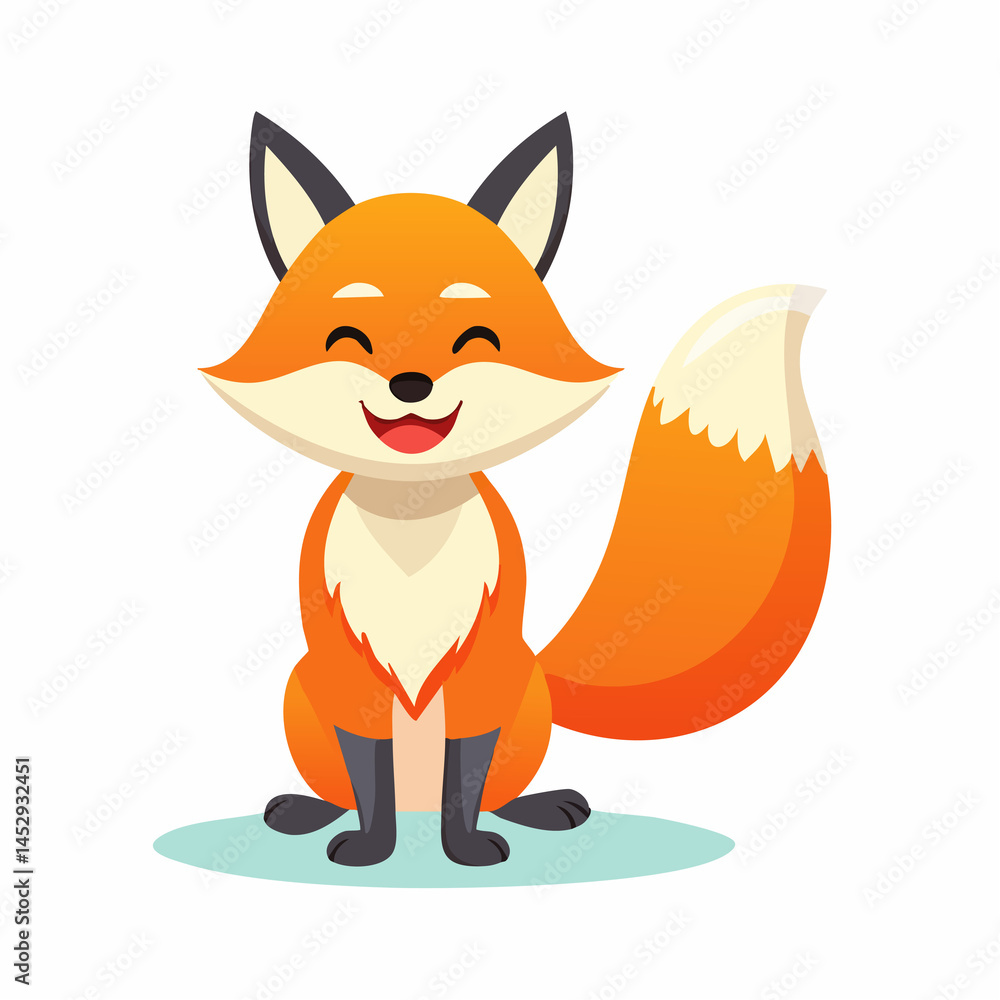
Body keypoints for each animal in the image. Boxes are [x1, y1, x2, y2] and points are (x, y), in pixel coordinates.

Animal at [201, 112, 831, 867]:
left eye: (476, 339)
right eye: (347, 339)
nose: (409, 385)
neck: (412, 528)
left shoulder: (485, 671)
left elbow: (465, 780)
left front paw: (465, 850)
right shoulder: (348, 673)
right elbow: (370, 779)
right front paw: (373, 849)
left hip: (523, 700)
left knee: (497, 788)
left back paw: (541, 807)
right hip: (302, 691)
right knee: (345, 788)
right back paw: (307, 811)